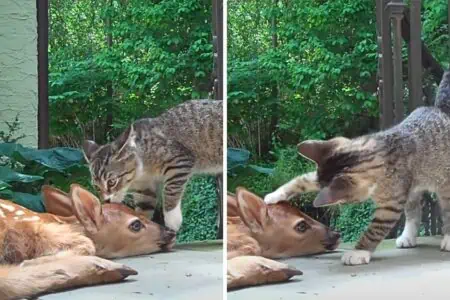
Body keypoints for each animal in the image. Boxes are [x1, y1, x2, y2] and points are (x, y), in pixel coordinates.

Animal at [82, 99, 223, 231]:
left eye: (112, 182)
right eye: (96, 186)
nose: (106, 200)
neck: (142, 173)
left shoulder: (180, 160)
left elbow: (170, 190)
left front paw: (172, 219)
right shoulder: (144, 188)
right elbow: (144, 208)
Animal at [266, 71, 450, 266]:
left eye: (342, 202)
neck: (380, 152)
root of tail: (440, 110)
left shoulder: (390, 205)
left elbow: (374, 230)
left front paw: (358, 251)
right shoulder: (322, 172)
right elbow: (301, 181)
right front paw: (274, 195)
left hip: (443, 185)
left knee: (445, 209)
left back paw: (447, 238)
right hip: (412, 190)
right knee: (414, 210)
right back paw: (408, 237)